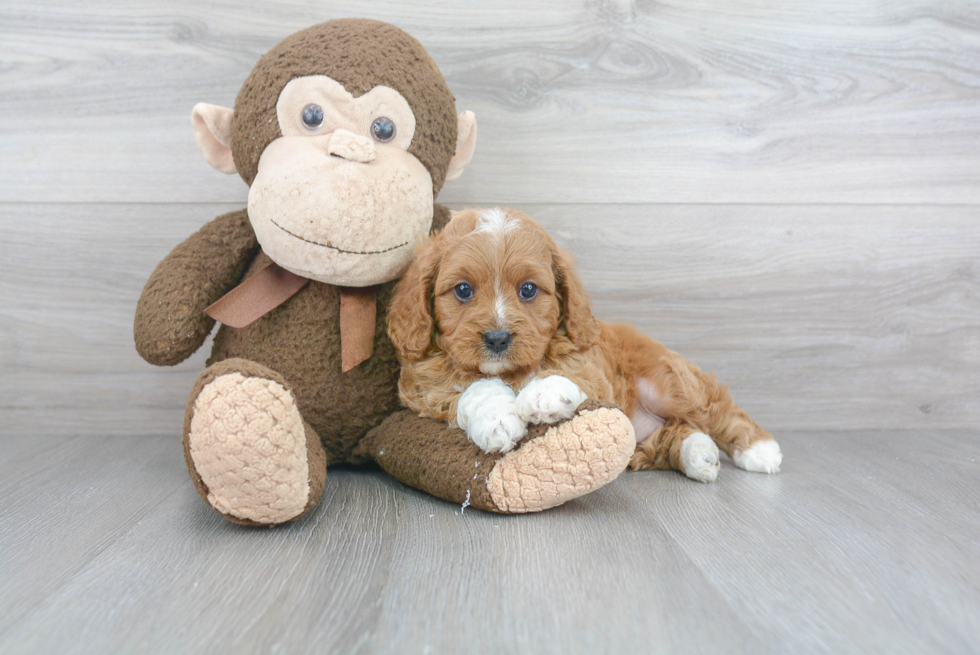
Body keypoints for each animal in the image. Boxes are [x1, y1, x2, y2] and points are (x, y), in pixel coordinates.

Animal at [388, 209, 780, 482]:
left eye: (528, 290)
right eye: (463, 290)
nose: (497, 338)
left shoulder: (593, 371)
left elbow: (564, 375)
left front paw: (543, 394)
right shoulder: (422, 386)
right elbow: (471, 387)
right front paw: (497, 418)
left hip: (669, 383)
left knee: (715, 406)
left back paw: (759, 449)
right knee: (676, 434)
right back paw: (699, 455)